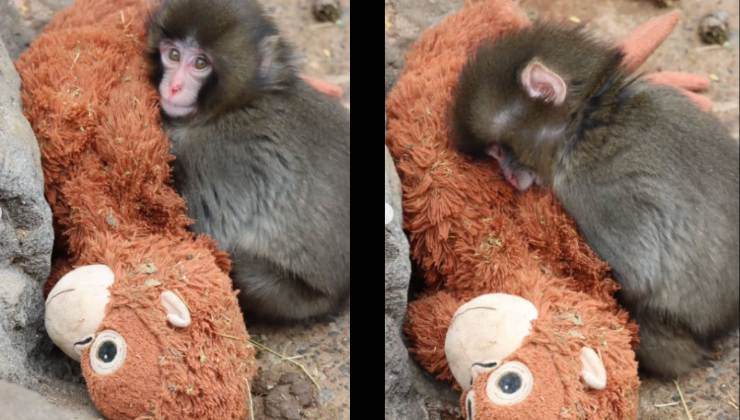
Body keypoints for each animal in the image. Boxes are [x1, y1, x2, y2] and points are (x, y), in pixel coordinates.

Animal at [146, 0, 350, 321]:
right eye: (174, 54)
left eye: (200, 64)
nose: (174, 87)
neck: (237, 103)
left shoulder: (211, 157)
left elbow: (208, 237)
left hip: (296, 298)